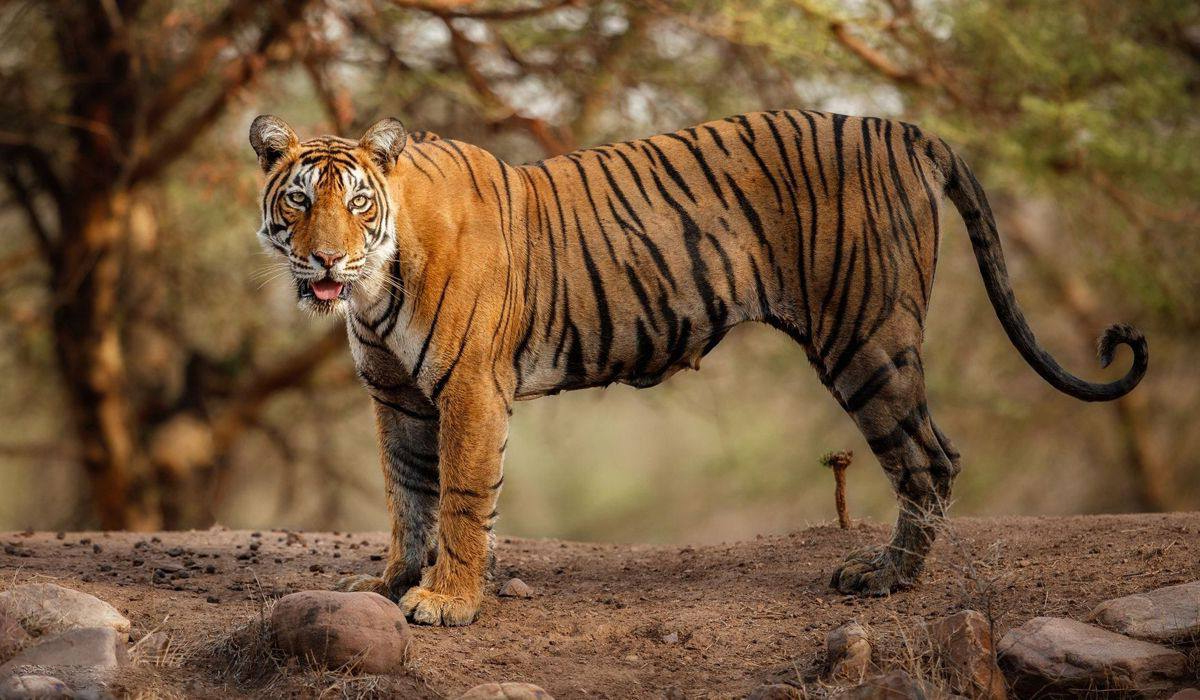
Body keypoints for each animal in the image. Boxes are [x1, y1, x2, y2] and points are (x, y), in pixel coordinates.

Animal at [249, 110, 1147, 626]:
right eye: (298, 199)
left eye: (356, 202)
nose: (325, 259)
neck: (373, 286)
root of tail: (906, 130)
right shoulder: (396, 397)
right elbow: (408, 497)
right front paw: (392, 584)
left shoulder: (469, 389)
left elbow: (462, 500)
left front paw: (446, 602)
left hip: (866, 338)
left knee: (930, 459)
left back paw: (885, 578)